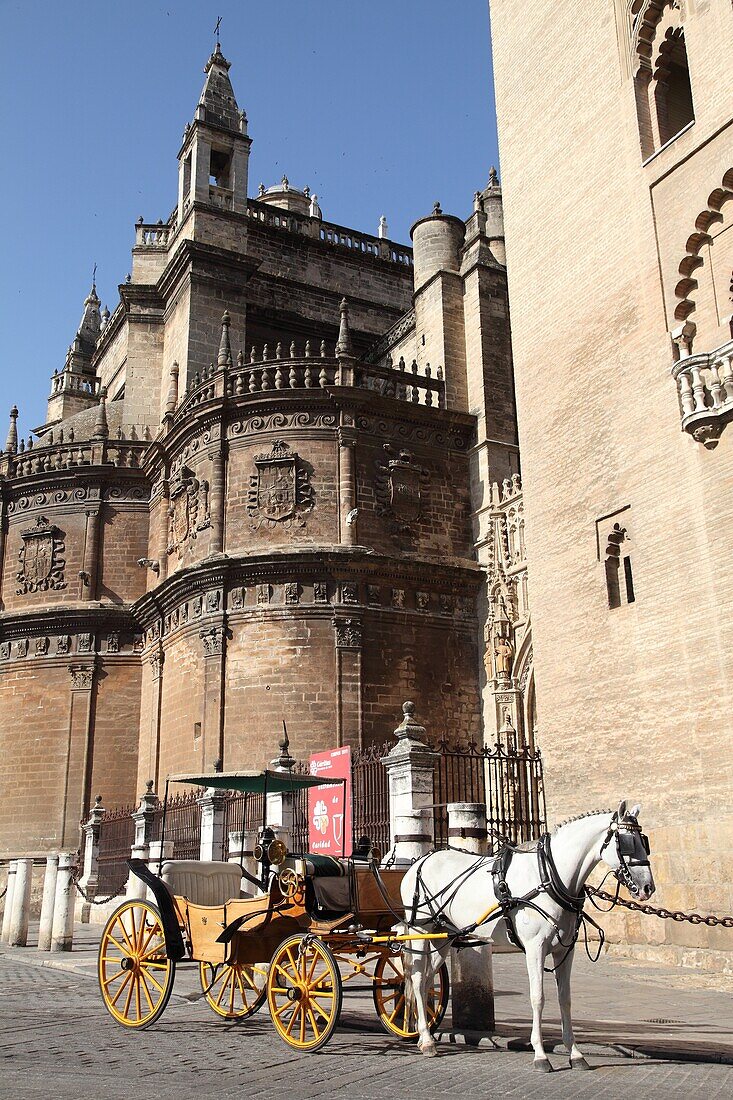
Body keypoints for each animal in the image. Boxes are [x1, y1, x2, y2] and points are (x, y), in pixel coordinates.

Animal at [396, 805, 651, 1069]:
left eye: (645, 841)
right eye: (627, 842)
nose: (647, 888)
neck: (549, 875)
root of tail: (418, 862)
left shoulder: (565, 949)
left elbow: (565, 999)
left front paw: (575, 1053)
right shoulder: (535, 948)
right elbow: (537, 997)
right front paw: (540, 1054)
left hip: (443, 937)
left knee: (427, 980)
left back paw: (422, 1035)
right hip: (420, 929)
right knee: (417, 978)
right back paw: (427, 1041)